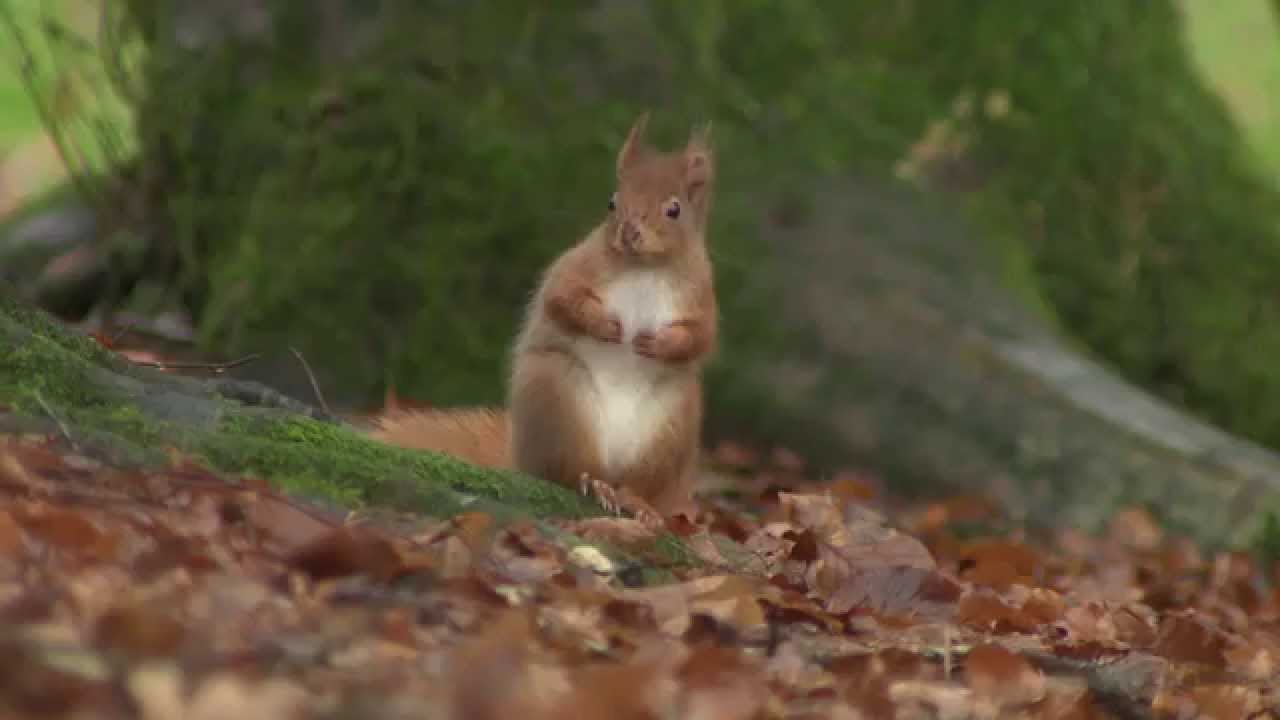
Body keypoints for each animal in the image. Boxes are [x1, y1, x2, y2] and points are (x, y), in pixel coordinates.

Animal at [369, 113, 718, 526]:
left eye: (674, 209)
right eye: (612, 202)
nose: (629, 232)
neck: (644, 267)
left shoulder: (701, 296)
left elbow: (701, 337)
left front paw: (658, 342)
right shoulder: (574, 268)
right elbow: (561, 299)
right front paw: (606, 325)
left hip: (672, 424)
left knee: (638, 482)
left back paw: (637, 502)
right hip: (557, 393)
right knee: (567, 472)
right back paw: (594, 484)